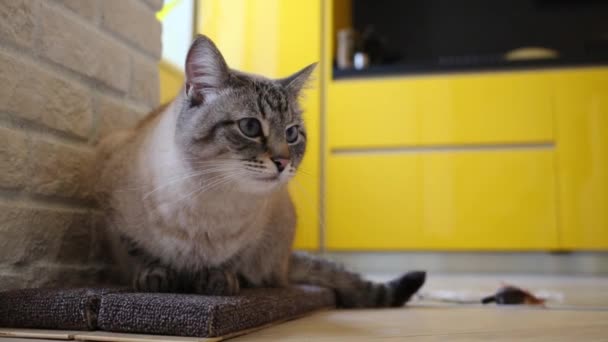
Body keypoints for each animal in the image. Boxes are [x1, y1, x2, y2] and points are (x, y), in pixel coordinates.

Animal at [95, 34, 426, 308]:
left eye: (292, 134)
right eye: (250, 127)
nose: (282, 162)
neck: (211, 195)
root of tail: (287, 261)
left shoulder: (253, 236)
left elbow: (230, 261)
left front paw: (218, 280)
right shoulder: (114, 213)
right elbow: (142, 254)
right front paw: (155, 277)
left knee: (271, 277)